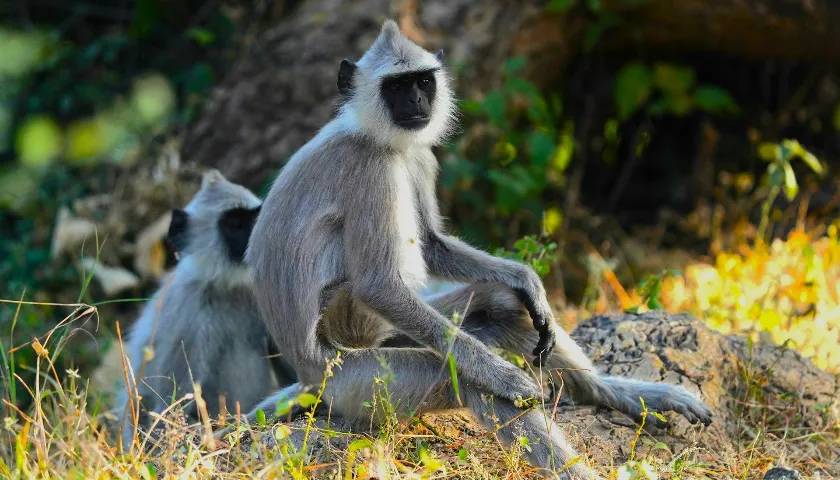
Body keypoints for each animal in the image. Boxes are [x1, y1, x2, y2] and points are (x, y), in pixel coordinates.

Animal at [116, 171, 296, 448]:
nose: (259, 235)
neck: (225, 287)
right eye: (235, 224)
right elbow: (169, 410)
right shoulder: (189, 315)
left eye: (255, 218)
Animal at [246, 20, 712, 478]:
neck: (378, 137)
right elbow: (379, 286)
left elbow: (434, 246)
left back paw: (615, 392)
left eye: (422, 81)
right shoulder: (369, 167)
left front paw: (527, 280)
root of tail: (310, 378)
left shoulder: (420, 155)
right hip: (357, 381)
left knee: (501, 304)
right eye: (396, 87)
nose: (416, 100)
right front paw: (507, 379)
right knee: (466, 378)